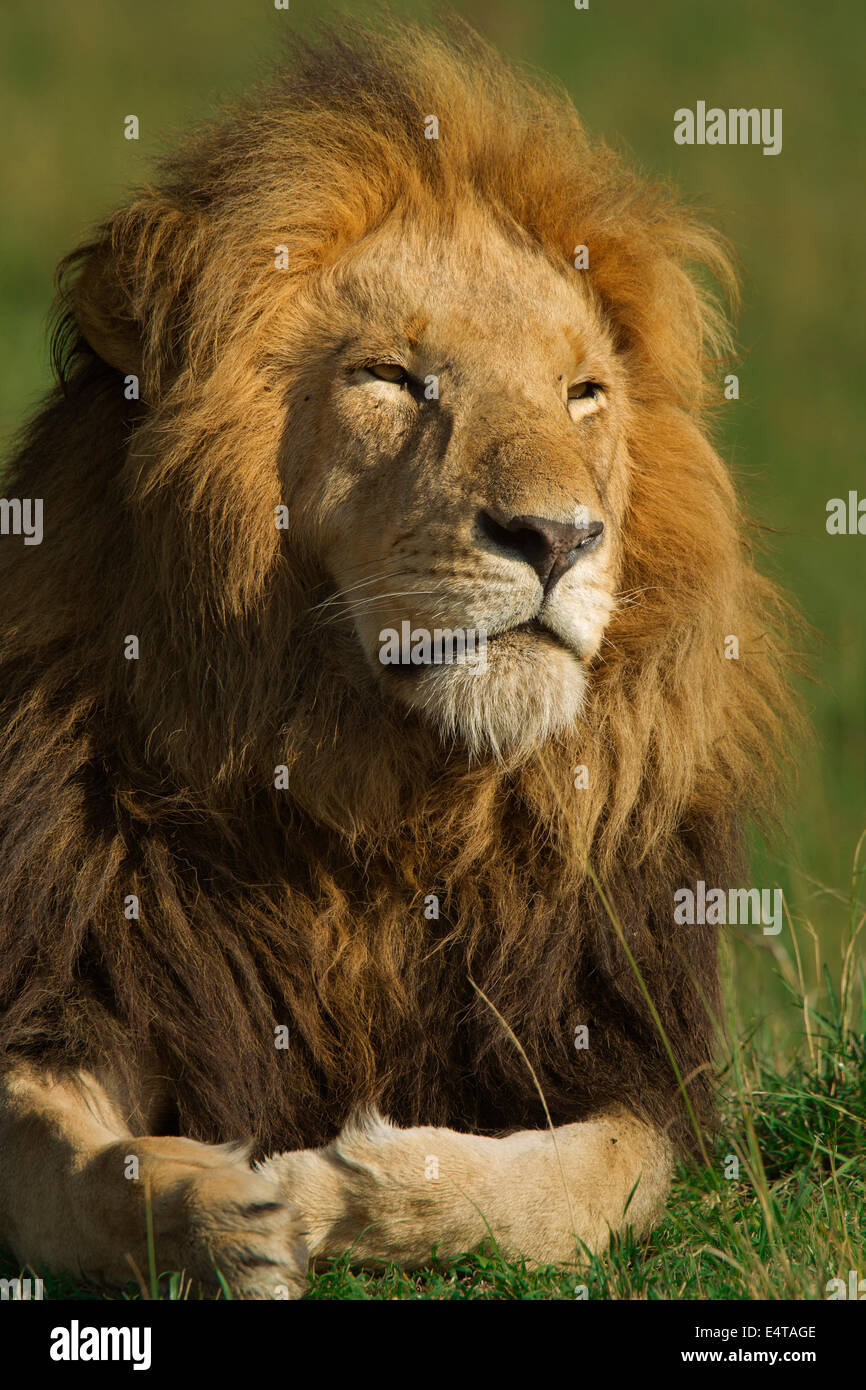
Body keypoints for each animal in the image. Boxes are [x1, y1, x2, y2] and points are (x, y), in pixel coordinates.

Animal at [0, 18, 795, 1298]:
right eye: (390, 377)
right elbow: (68, 1169)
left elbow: (580, 1184)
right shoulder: (71, 980)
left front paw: (348, 1185)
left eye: (582, 393)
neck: (382, 799)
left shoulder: (622, 1050)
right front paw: (225, 1207)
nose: (557, 538)